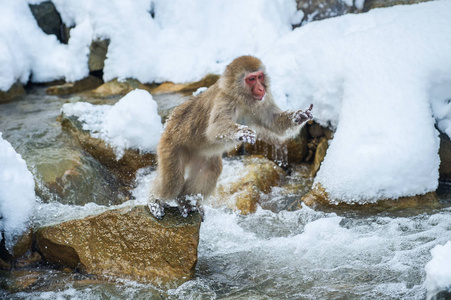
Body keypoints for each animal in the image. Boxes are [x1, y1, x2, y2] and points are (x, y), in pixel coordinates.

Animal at [149, 55, 314, 219]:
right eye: (251, 79)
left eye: (260, 76)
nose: (261, 88)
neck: (241, 99)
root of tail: (169, 123)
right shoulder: (225, 100)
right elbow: (214, 128)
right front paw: (242, 132)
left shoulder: (263, 101)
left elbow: (275, 123)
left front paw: (299, 116)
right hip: (171, 145)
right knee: (173, 181)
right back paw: (155, 201)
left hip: (201, 154)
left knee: (210, 170)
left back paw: (186, 201)